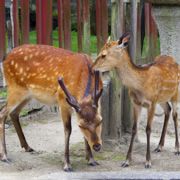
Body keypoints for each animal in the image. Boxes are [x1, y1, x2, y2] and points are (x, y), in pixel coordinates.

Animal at [0, 44, 103, 172]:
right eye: (80, 125)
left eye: (100, 121)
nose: (97, 146)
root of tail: (4, 58)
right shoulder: (62, 99)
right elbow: (67, 129)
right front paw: (66, 164)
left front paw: (91, 160)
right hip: (15, 88)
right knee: (3, 112)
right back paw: (5, 156)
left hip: (28, 94)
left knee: (14, 113)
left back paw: (27, 147)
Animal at [91, 29, 180, 169]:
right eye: (99, 51)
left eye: (104, 55)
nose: (92, 68)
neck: (140, 86)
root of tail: (172, 59)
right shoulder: (137, 103)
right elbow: (134, 128)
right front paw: (127, 161)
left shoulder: (151, 102)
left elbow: (148, 129)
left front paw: (148, 162)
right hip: (161, 98)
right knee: (168, 110)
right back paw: (159, 146)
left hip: (175, 92)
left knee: (175, 115)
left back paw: (176, 149)